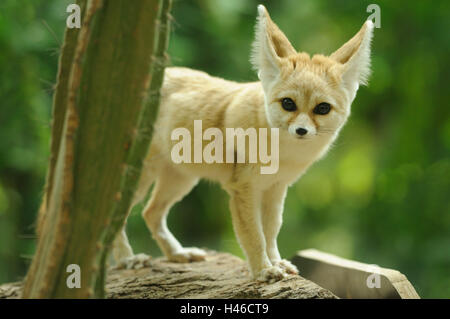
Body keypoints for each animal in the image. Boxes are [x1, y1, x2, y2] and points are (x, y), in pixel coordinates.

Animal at [112, 3, 372, 282]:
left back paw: (177, 253)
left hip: (181, 179)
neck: (282, 153)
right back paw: (126, 259)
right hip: (143, 180)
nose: (301, 131)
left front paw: (276, 262)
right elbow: (254, 234)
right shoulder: (243, 188)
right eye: (288, 103)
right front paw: (263, 270)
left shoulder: (276, 188)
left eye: (322, 108)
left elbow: (271, 230)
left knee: (151, 212)